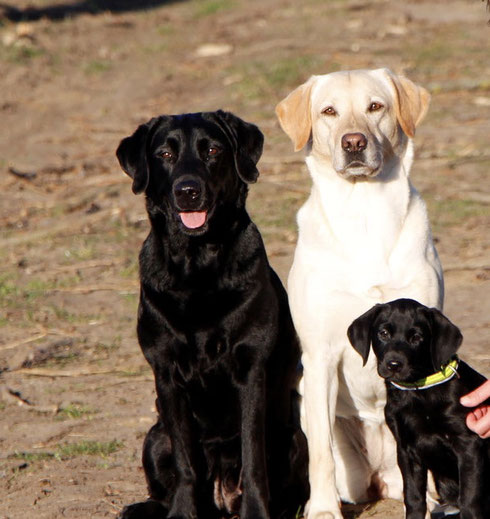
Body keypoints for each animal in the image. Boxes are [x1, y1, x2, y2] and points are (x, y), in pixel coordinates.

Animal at [115, 110, 308, 519]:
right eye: (165, 153)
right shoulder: (166, 374)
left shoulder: (250, 371)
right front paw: (182, 512)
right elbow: (186, 463)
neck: (197, 265)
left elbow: (253, 458)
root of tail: (222, 497)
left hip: (292, 437)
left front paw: (256, 512)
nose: (187, 190)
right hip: (154, 438)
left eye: (213, 150)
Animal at [346, 298, 488, 519]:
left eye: (417, 338)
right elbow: (414, 498)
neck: (418, 393)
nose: (394, 364)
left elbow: (470, 499)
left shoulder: (469, 443)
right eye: (383, 333)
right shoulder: (406, 450)